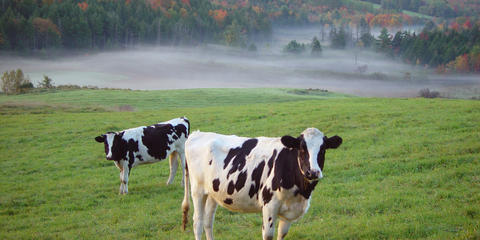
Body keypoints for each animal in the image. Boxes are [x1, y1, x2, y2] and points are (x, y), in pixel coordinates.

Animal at [180, 128, 342, 240]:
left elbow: (282, 234)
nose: (313, 172)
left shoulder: (289, 212)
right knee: (198, 223)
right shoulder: (269, 206)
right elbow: (268, 235)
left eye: (323, 149)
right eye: (302, 149)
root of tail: (197, 134)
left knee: (208, 222)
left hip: (213, 193)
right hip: (197, 191)